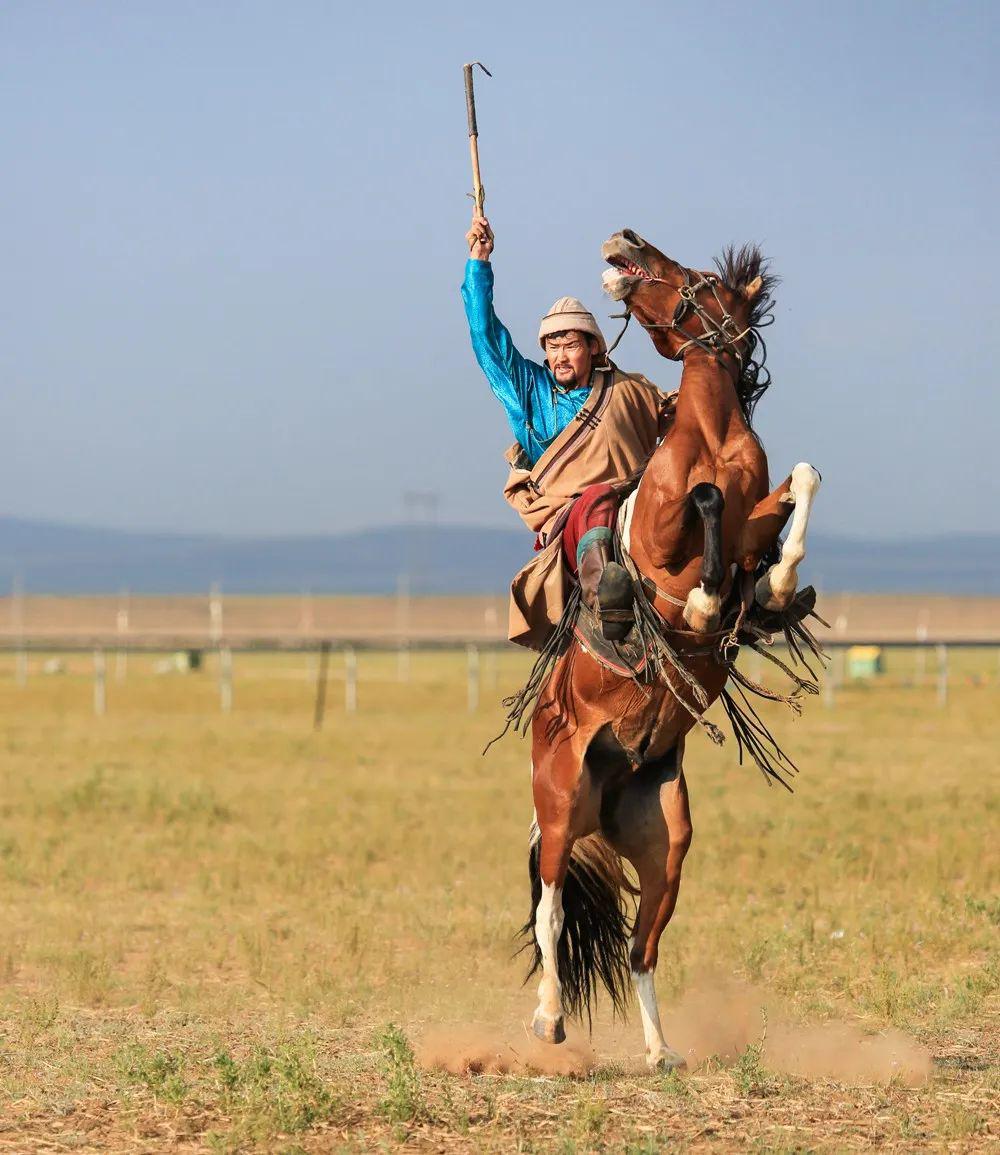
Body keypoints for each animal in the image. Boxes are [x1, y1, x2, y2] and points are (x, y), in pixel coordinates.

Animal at [521, 229, 817, 1067]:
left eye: (701, 278)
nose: (624, 239)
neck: (711, 435)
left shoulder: (761, 510)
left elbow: (798, 486)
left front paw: (774, 589)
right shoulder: (663, 530)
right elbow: (705, 506)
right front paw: (707, 599)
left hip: (666, 843)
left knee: (640, 947)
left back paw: (660, 1050)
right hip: (558, 808)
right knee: (552, 912)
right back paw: (548, 1020)